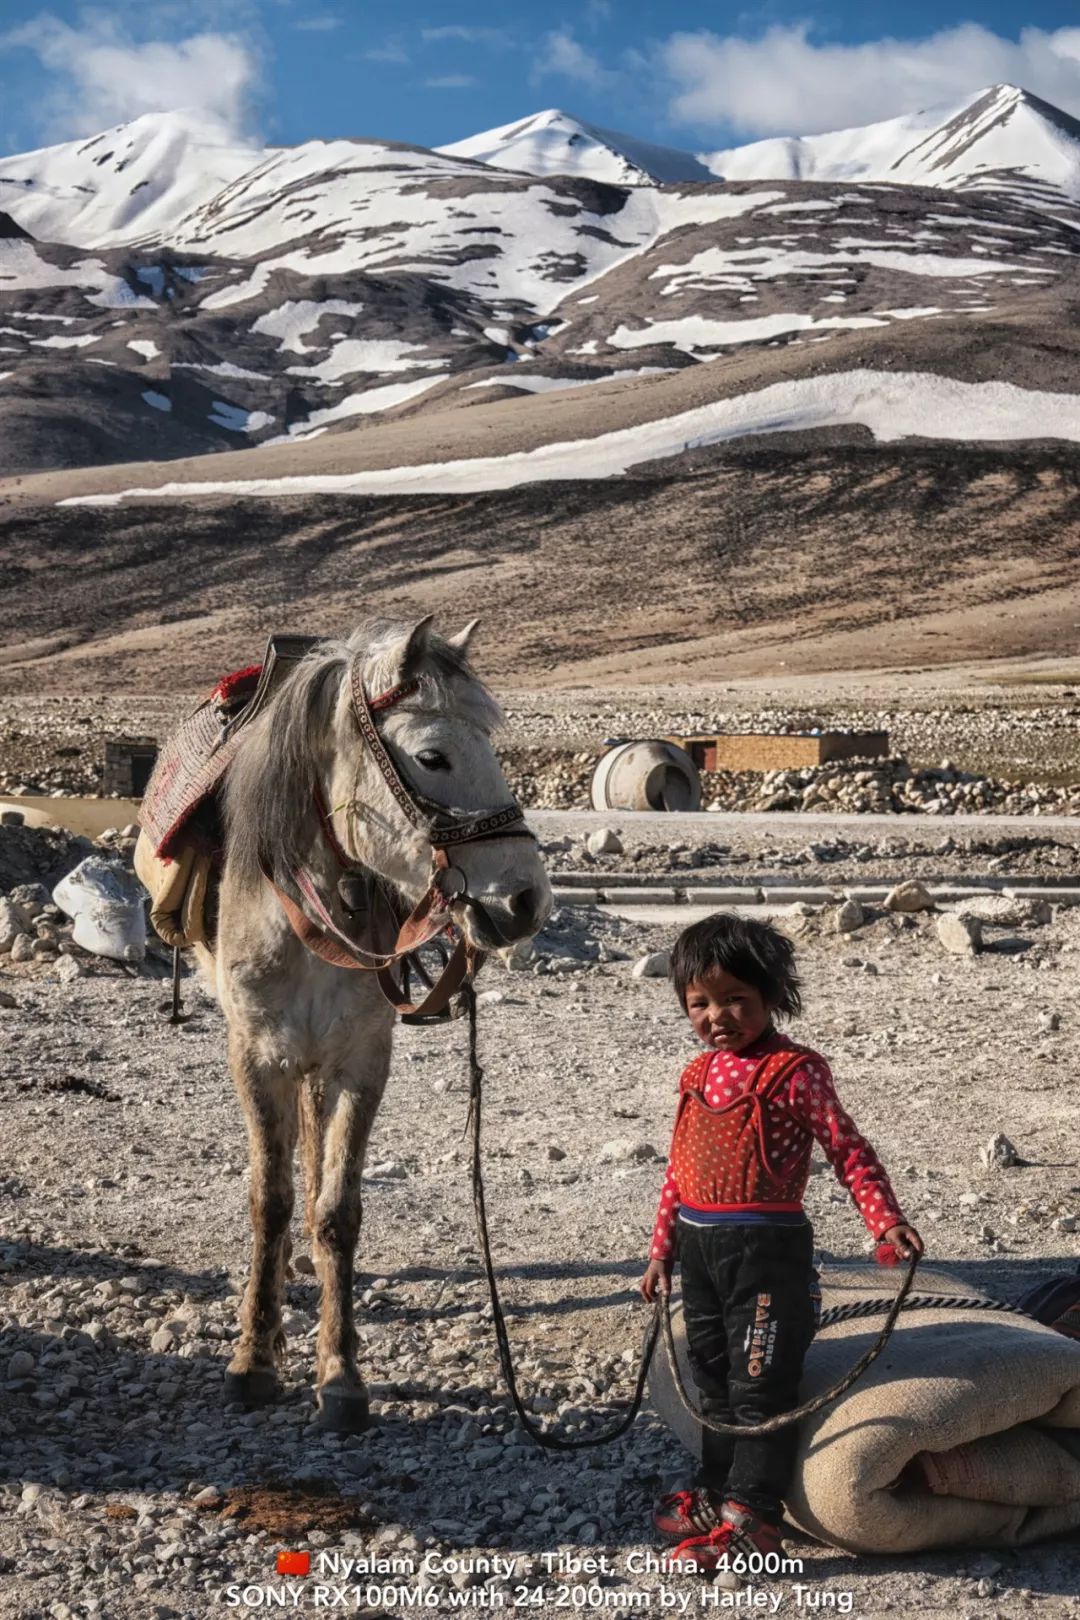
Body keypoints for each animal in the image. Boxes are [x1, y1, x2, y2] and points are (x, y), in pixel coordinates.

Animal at [201, 615, 553, 1432]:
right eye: (432, 755)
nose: (526, 901)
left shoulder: (363, 1058)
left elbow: (336, 1210)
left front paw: (340, 1375)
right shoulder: (255, 1055)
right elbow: (269, 1199)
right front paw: (252, 1360)